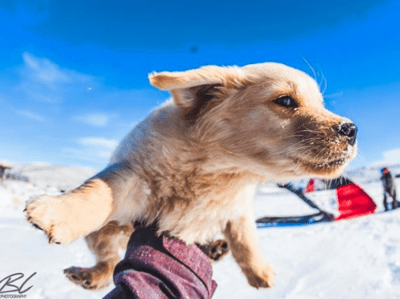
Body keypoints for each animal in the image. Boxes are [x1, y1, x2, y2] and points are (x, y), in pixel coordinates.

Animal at [24, 62, 356, 290]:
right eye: (285, 101)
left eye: (320, 103)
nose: (351, 129)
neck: (222, 171)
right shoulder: (134, 176)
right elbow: (100, 191)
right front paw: (57, 212)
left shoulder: (238, 206)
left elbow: (245, 238)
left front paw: (260, 272)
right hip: (101, 235)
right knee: (107, 263)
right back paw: (88, 276)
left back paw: (216, 248)